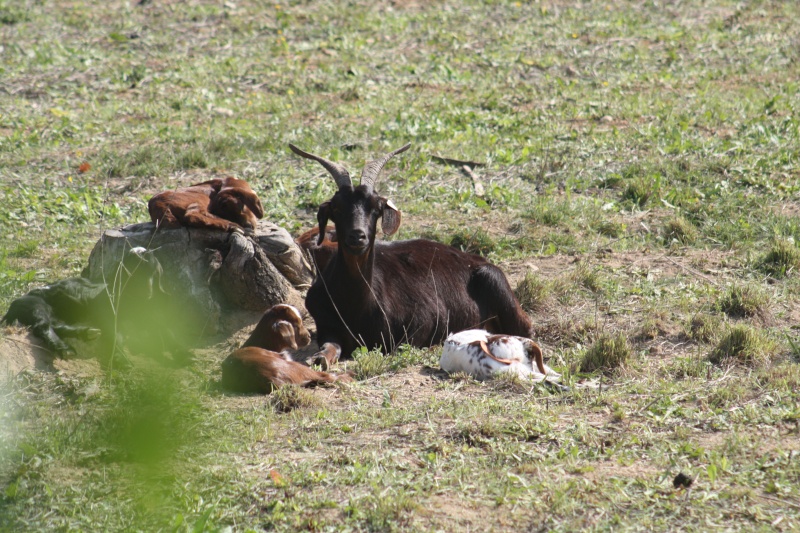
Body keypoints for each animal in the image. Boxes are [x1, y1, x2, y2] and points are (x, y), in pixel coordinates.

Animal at [222, 304, 354, 390]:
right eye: (295, 325)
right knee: (324, 376)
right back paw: (350, 375)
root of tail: (271, 380)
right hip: (293, 367)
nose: (309, 336)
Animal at [288, 141, 532, 366]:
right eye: (337, 208)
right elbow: (331, 346)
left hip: (498, 287)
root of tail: (474, 259)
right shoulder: (325, 325)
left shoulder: (422, 322)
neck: (356, 305)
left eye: (376, 208)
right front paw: (319, 358)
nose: (357, 236)